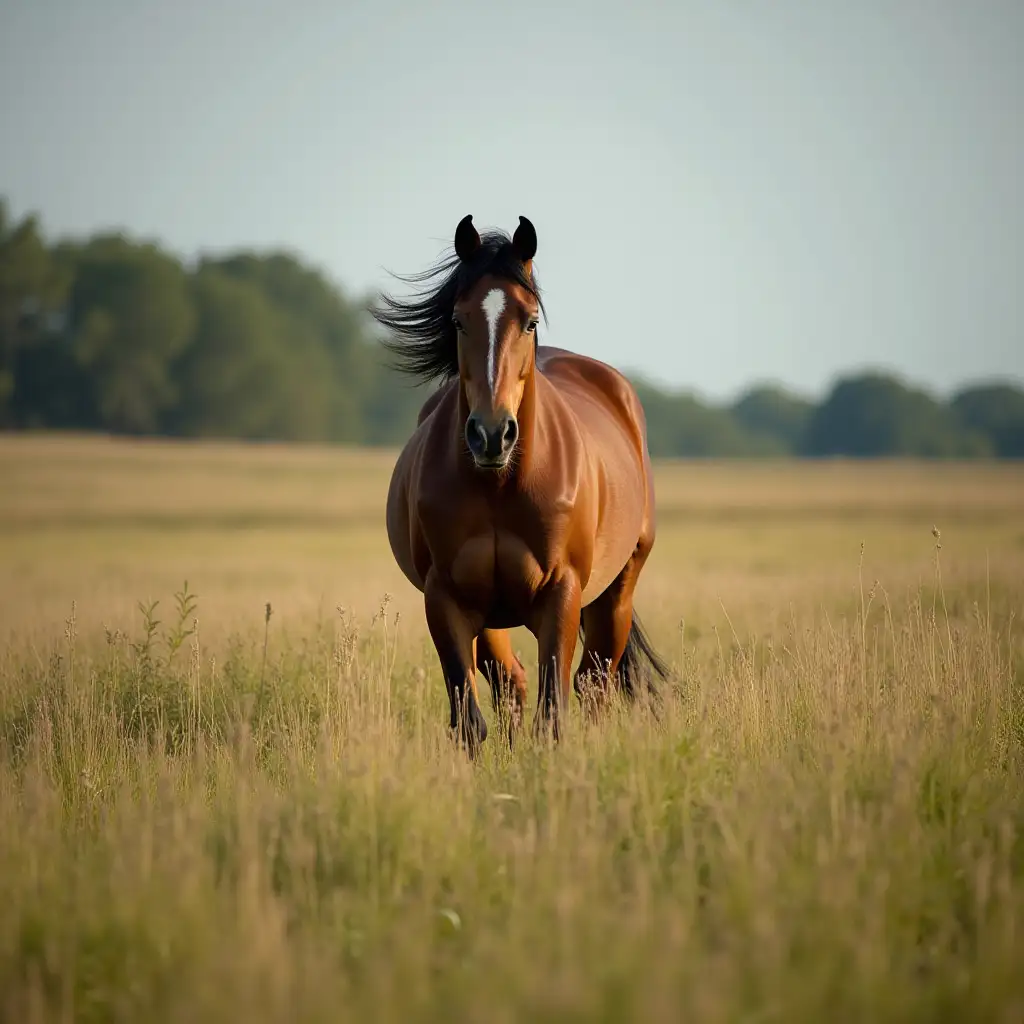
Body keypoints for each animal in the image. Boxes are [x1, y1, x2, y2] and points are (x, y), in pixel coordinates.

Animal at [372, 214, 667, 753]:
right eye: (458, 320)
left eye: (529, 320)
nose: (491, 434)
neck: (500, 485)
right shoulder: (446, 599)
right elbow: (470, 719)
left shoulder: (561, 594)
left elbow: (552, 717)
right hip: (493, 616)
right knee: (513, 683)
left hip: (616, 590)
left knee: (594, 683)